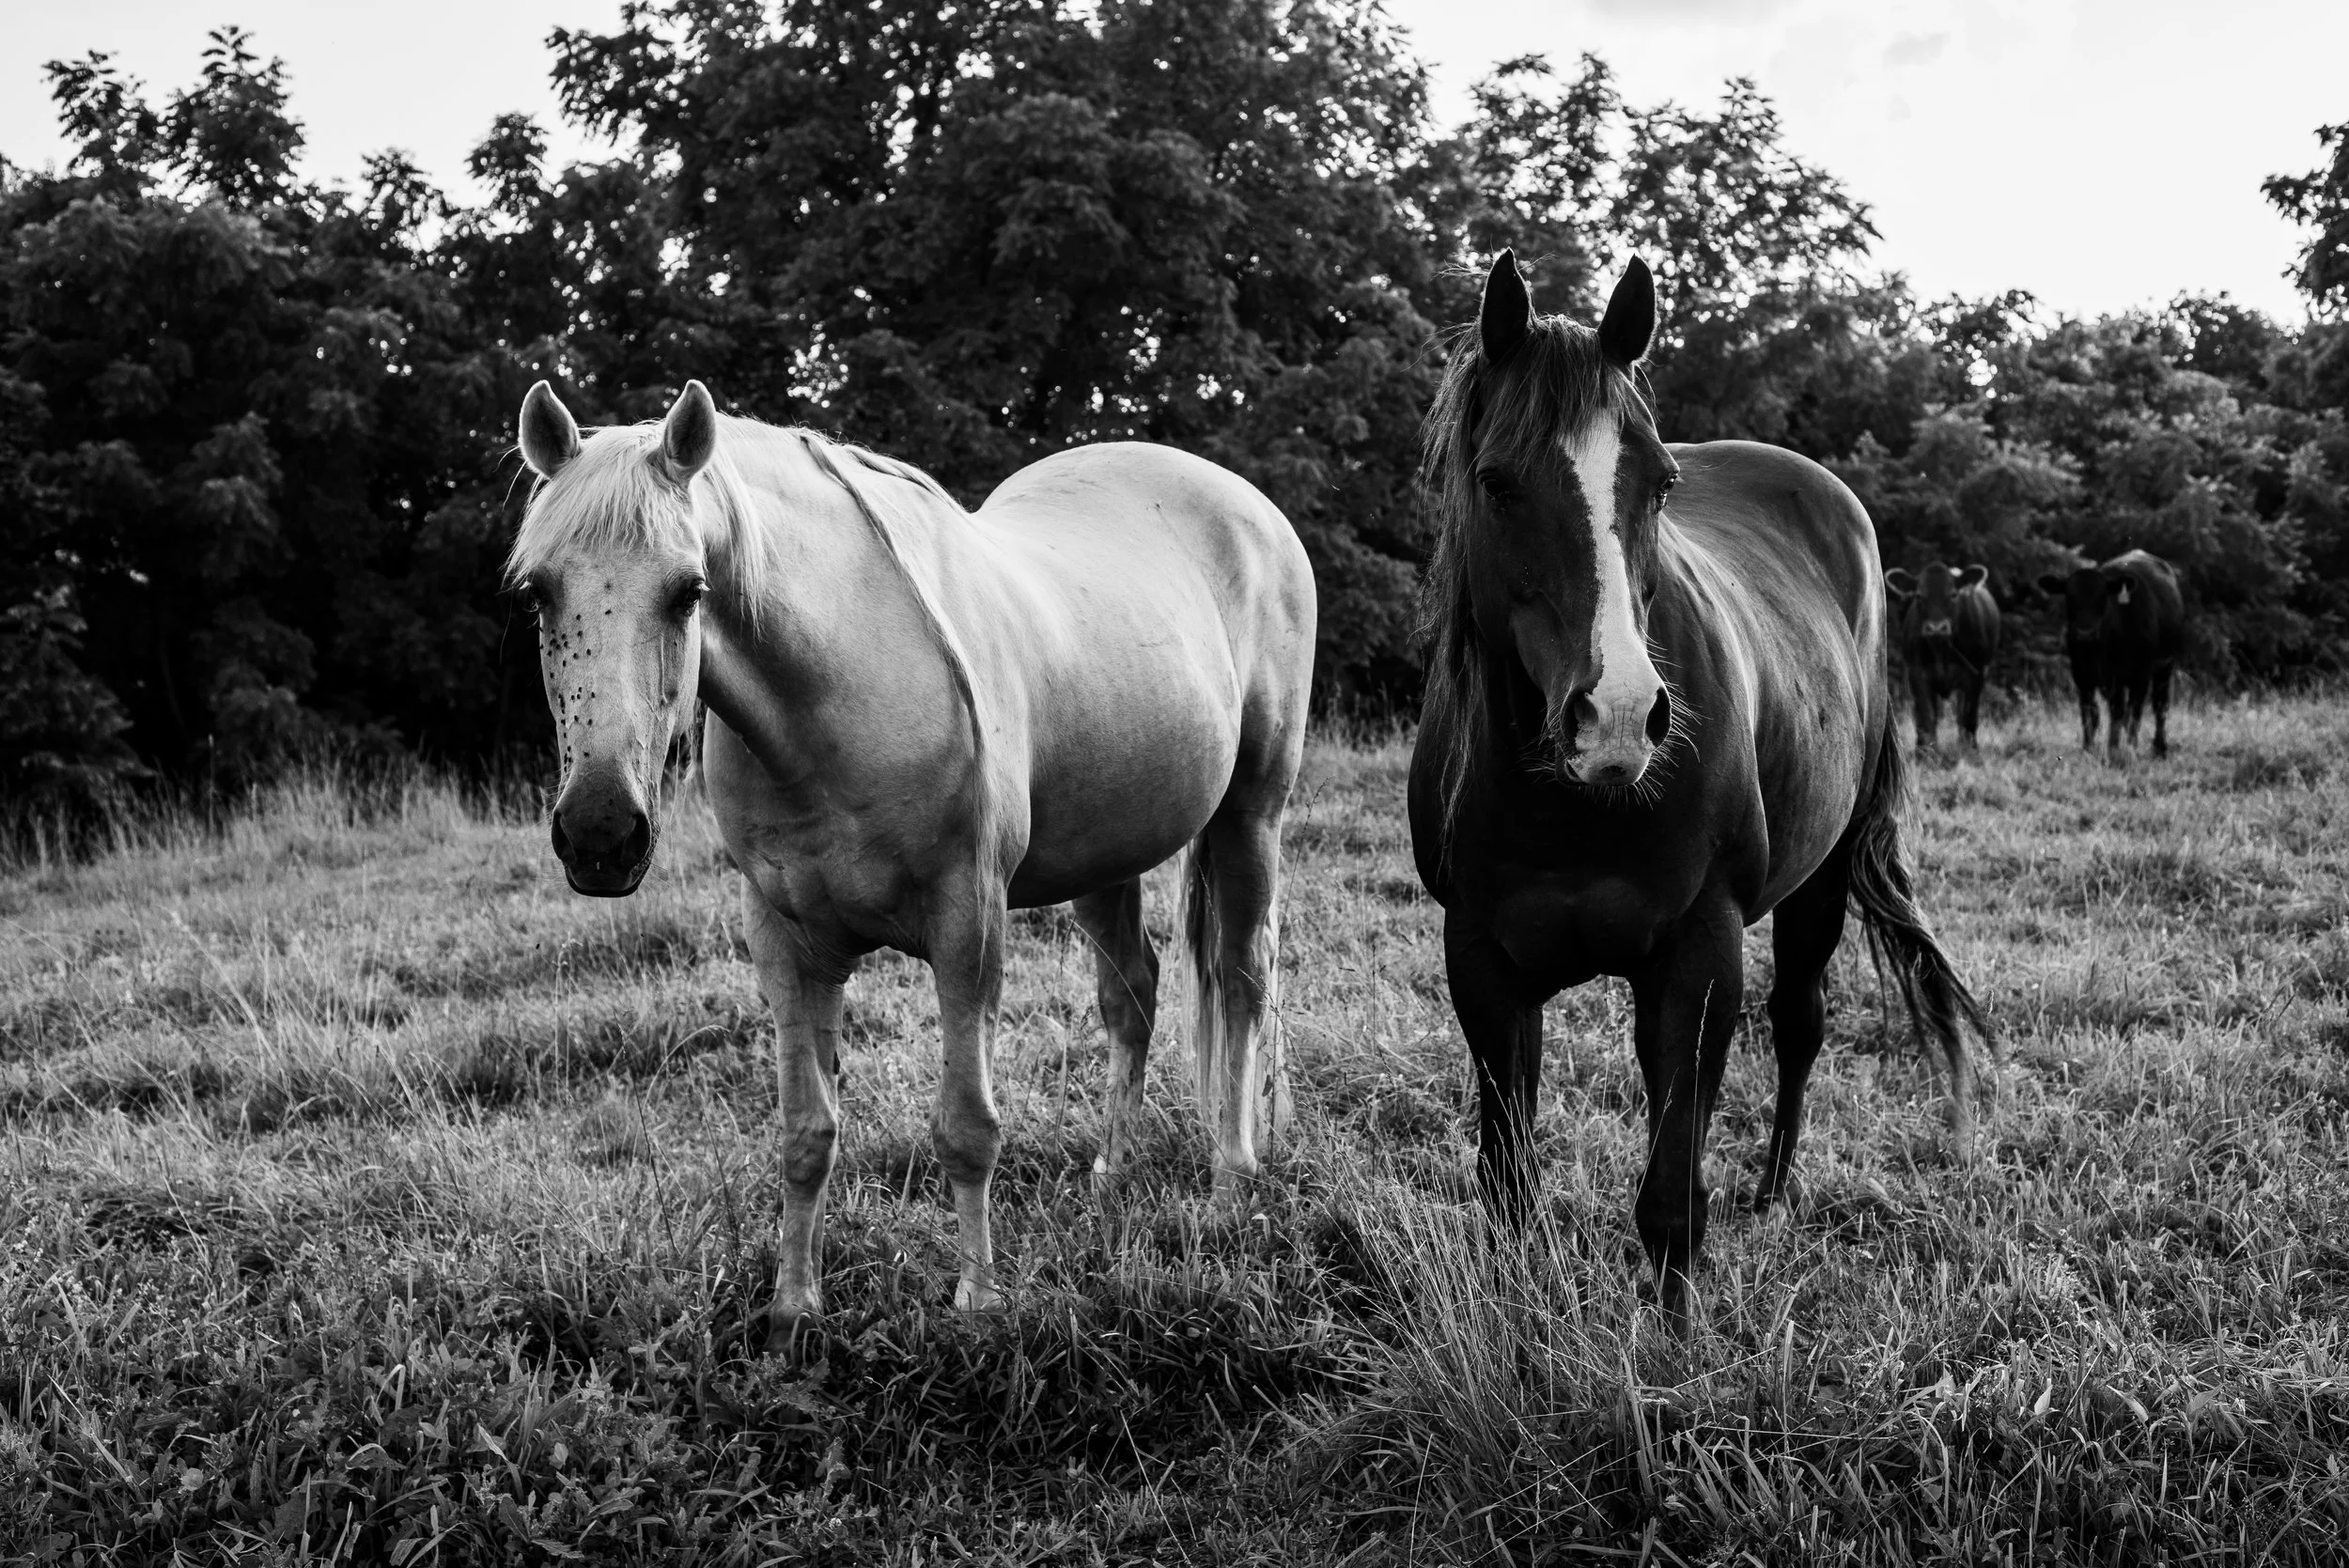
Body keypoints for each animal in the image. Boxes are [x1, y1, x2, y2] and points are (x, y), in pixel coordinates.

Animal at [507, 382, 1316, 1325]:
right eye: (538, 592)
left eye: (688, 589)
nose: (601, 834)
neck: (839, 694)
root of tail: (1251, 505)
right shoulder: (785, 942)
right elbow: (805, 1133)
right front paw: (793, 1310)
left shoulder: (968, 926)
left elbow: (966, 1126)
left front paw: (977, 1300)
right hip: (1106, 857)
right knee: (1133, 995)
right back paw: (1113, 1172)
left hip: (1252, 813)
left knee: (1243, 978)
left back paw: (1231, 1181)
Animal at [1408, 250, 1989, 1320]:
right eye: (1497, 481)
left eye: (1660, 482)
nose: (1617, 717)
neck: (1570, 805)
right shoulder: (1483, 964)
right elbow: (1509, 1190)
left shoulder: (1698, 952)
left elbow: (1672, 1198)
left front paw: (1674, 1348)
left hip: (1820, 882)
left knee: (1799, 1025)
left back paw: (1774, 1190)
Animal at [1885, 563, 2000, 751]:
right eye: (1919, 596)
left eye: (1953, 594)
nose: (1936, 628)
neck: (1942, 649)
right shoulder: (1918, 673)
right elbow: (1927, 715)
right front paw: (1925, 752)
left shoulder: (1976, 672)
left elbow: (1968, 714)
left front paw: (1969, 750)